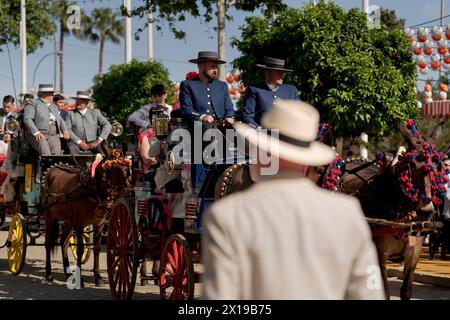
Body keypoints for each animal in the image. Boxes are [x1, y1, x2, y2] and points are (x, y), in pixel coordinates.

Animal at [42, 148, 131, 284]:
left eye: (126, 166)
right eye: (113, 168)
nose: (127, 185)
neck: (92, 187)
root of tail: (52, 168)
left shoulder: (99, 223)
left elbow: (97, 248)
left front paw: (98, 276)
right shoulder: (79, 224)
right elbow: (80, 249)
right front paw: (80, 279)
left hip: (68, 220)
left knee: (64, 242)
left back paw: (68, 273)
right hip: (49, 215)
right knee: (48, 242)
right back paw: (48, 273)